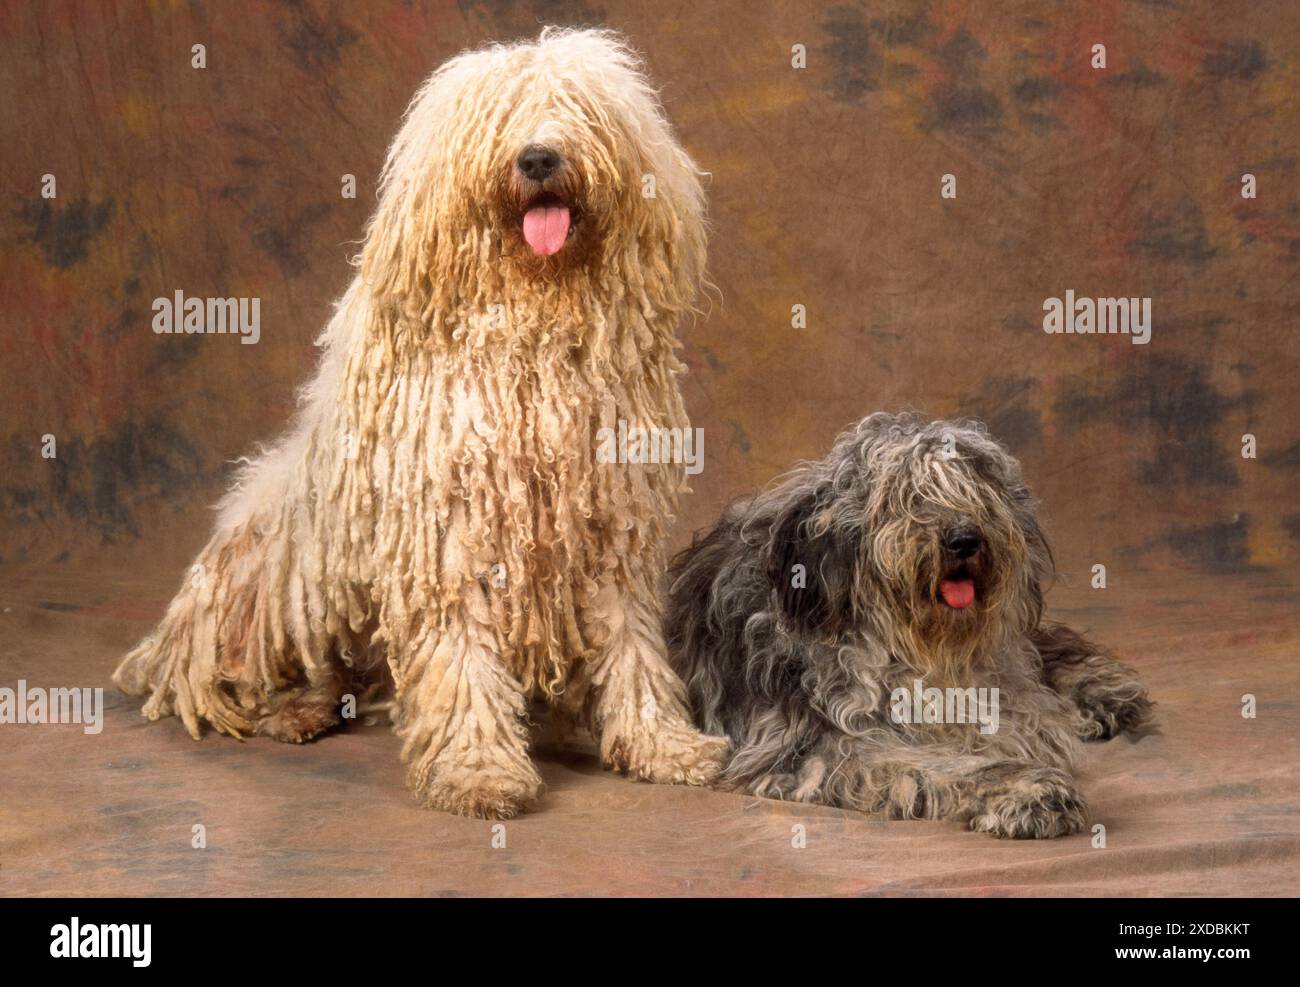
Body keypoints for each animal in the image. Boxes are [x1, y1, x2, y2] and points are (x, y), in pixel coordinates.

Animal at [113, 28, 733, 816]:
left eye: (577, 108)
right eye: (498, 117)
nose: (538, 157)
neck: (532, 319)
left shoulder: (606, 521)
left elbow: (630, 642)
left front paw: (662, 744)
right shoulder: (447, 528)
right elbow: (462, 657)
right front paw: (477, 770)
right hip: (273, 577)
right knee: (265, 669)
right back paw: (292, 709)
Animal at [665, 413, 1154, 837]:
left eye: (976, 488)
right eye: (903, 496)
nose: (964, 539)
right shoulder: (813, 743)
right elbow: (931, 762)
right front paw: (1028, 790)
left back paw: (1104, 697)